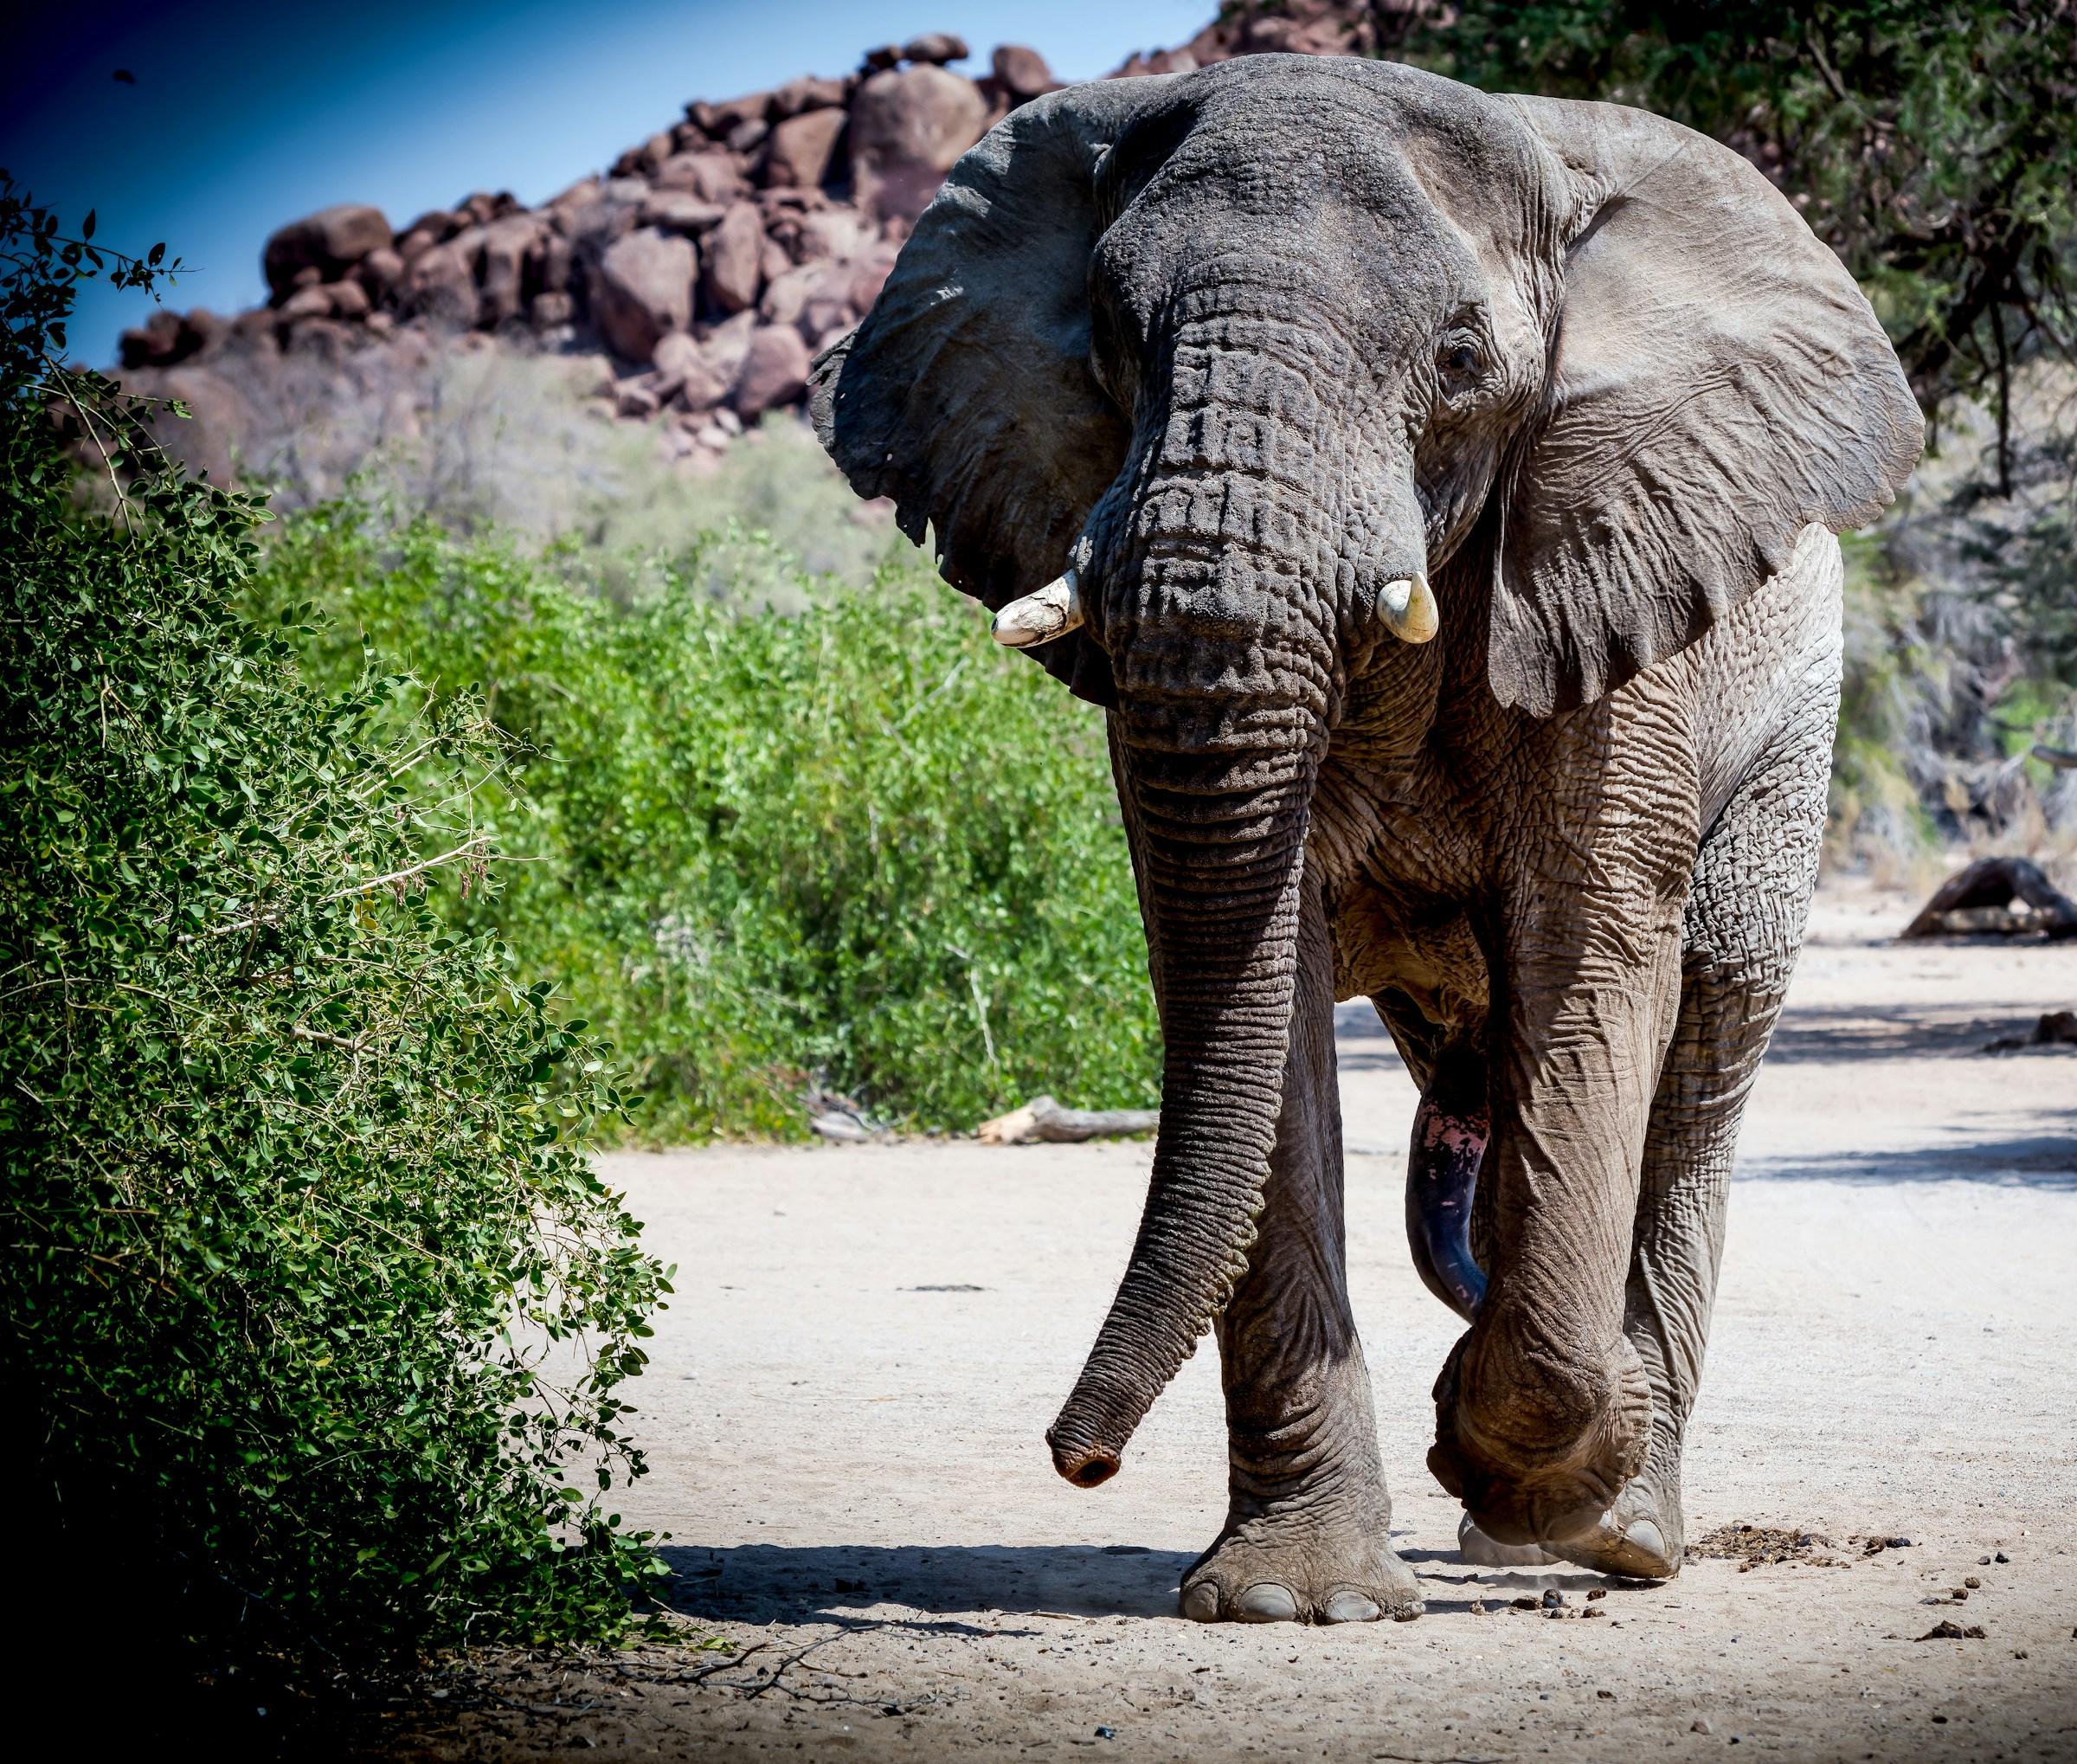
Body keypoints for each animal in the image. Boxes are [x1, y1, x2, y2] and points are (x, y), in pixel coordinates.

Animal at [806, 55, 1911, 1620]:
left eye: (1458, 360)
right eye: (1118, 345)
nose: (1080, 1457)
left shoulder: (1607, 571)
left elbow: (1591, 962)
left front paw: (1513, 1465)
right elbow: (1254, 987)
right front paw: (1296, 1600)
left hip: (1791, 721)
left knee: (1700, 1052)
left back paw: (1620, 1532)